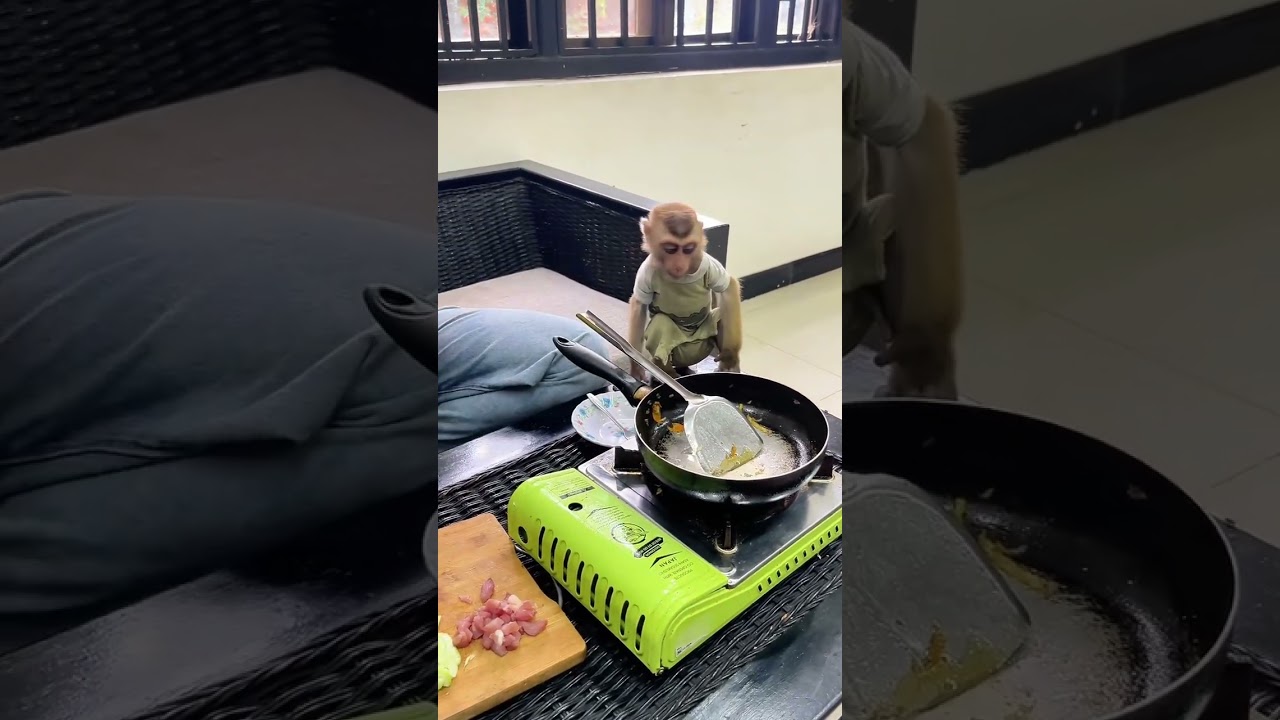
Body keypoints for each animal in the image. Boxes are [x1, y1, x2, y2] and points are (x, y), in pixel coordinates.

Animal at [627, 202, 744, 381]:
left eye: (688, 249)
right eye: (670, 249)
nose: (679, 265)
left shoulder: (708, 264)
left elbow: (728, 287)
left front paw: (730, 355)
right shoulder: (645, 272)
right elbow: (639, 306)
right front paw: (636, 368)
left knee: (722, 314)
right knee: (661, 324)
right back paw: (667, 373)